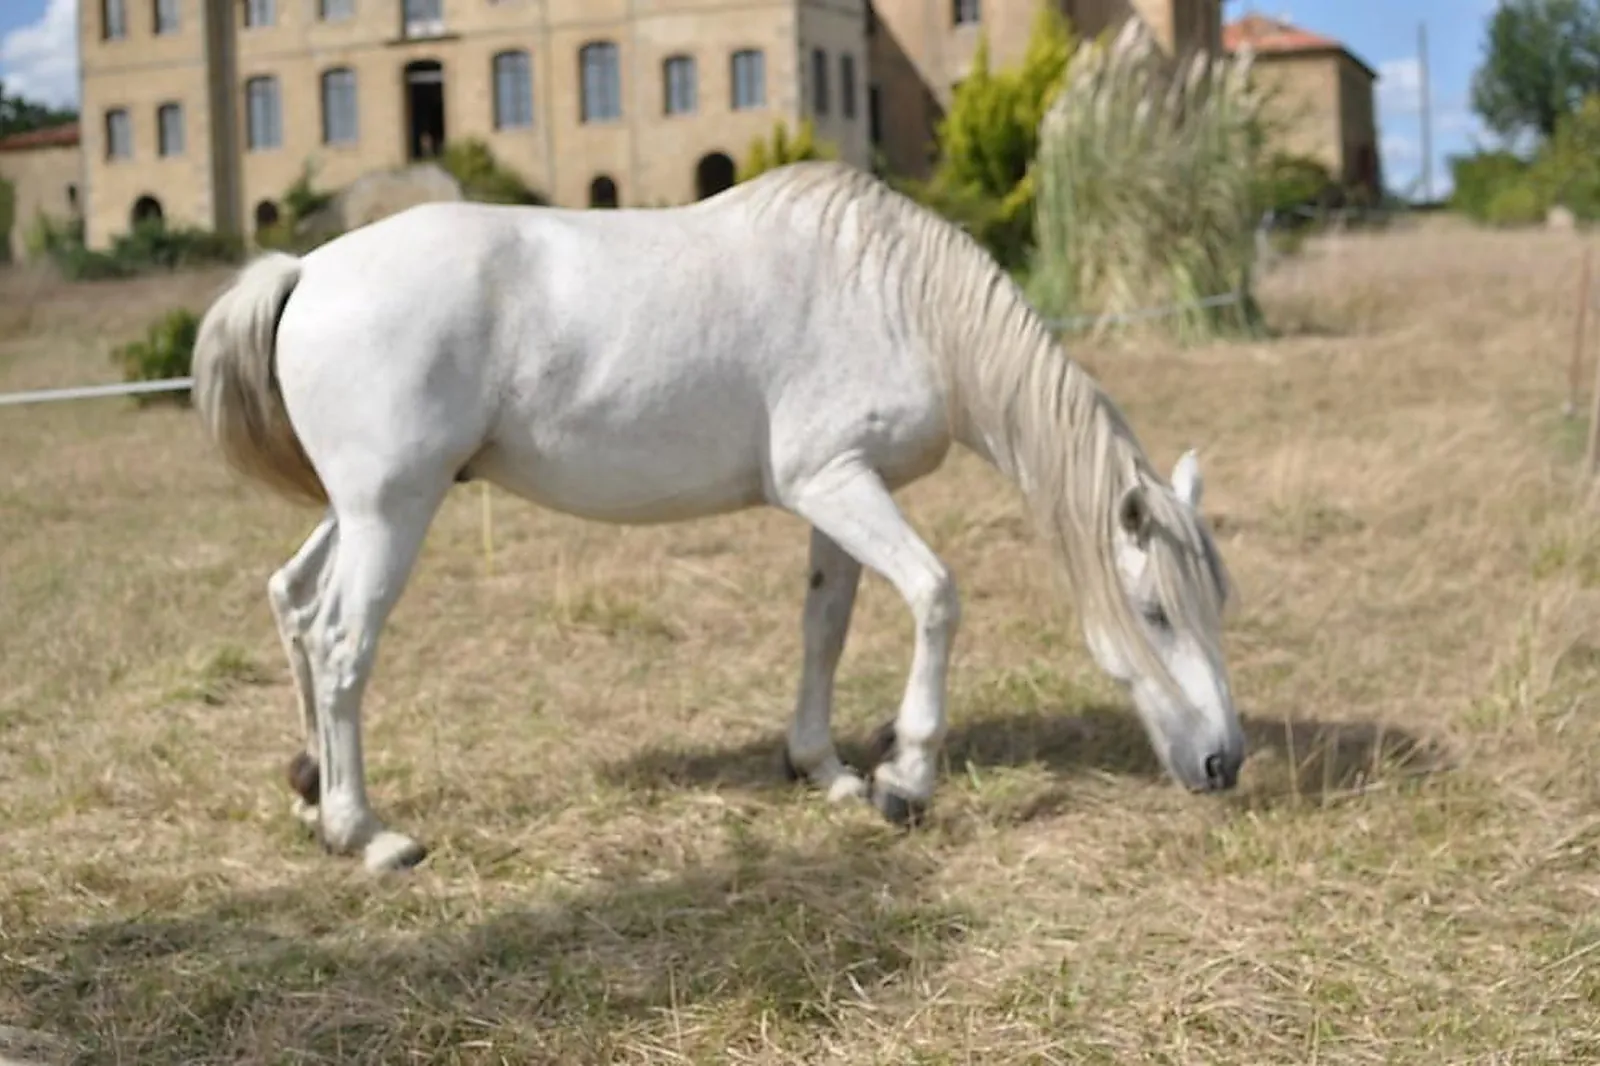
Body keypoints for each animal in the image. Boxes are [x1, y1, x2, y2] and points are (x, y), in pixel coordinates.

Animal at [192, 160, 1240, 873]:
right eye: (1154, 612)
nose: (1226, 761)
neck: (899, 301)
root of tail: (305, 270)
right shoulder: (837, 483)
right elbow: (937, 597)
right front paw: (905, 782)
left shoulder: (838, 495)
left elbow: (826, 624)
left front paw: (826, 770)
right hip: (390, 513)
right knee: (341, 644)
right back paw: (366, 833)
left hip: (368, 509)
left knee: (293, 602)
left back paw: (311, 794)